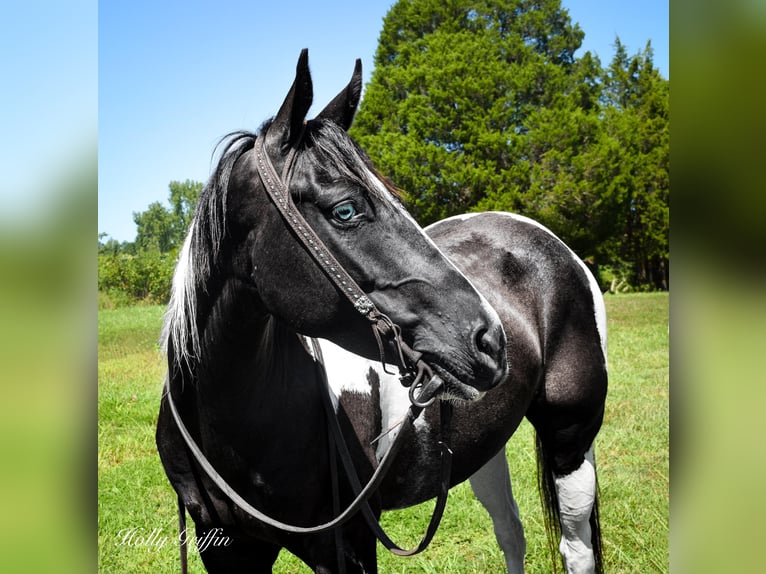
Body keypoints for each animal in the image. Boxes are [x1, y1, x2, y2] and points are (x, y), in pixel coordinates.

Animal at [156, 50, 608, 574]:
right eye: (346, 210)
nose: (491, 341)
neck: (236, 425)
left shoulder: (348, 544)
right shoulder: (226, 547)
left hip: (571, 438)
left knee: (576, 549)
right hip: (485, 445)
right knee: (511, 532)